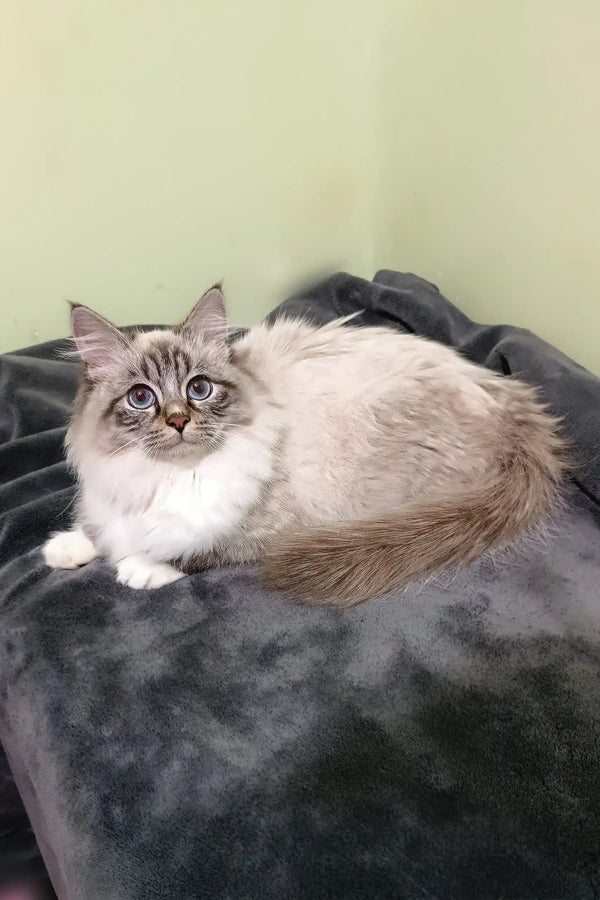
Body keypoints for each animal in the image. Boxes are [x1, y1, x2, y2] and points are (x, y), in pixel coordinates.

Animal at [43, 288, 568, 608]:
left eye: (199, 389)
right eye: (141, 398)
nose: (177, 421)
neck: (164, 476)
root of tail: (512, 399)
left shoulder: (265, 532)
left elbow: (188, 550)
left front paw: (137, 569)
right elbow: (98, 531)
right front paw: (65, 550)